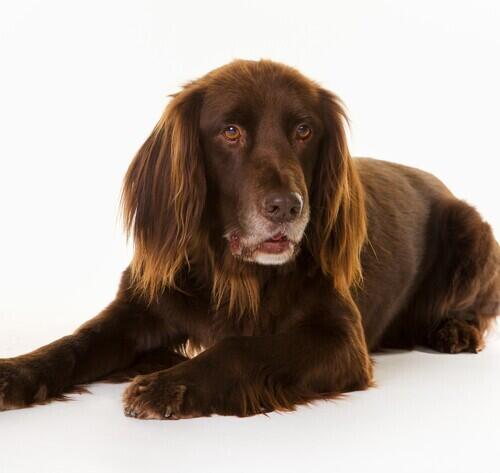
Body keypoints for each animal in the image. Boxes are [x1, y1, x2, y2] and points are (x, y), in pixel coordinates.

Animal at [0, 60, 500, 418]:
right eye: (230, 131)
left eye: (304, 130)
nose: (287, 207)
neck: (231, 271)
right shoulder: (138, 308)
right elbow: (74, 343)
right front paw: (15, 371)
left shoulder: (340, 338)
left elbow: (242, 346)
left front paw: (168, 383)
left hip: (473, 230)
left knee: (479, 305)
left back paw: (455, 330)